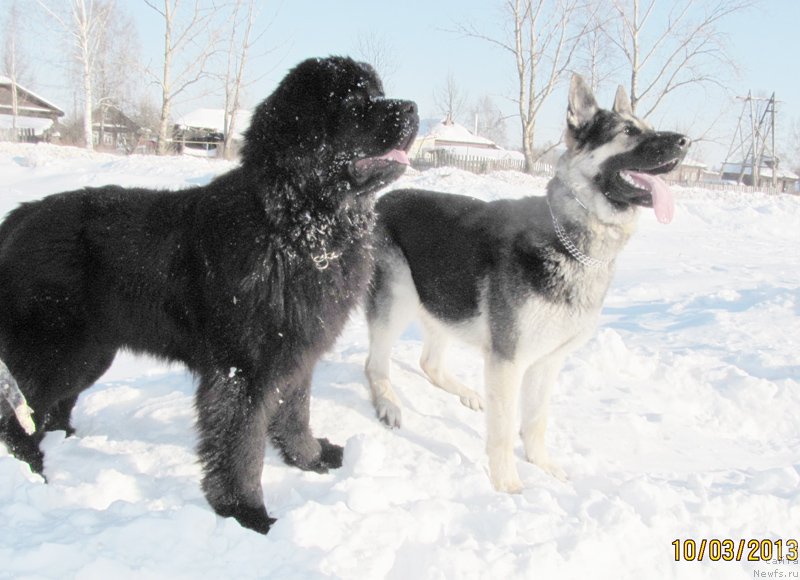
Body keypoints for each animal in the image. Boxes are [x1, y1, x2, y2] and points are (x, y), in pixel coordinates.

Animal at [0, 57, 422, 536]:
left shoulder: (297, 354)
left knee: (54, 407)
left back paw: (63, 444)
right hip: (56, 352)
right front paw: (246, 512)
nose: (412, 107)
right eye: (353, 102)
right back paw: (34, 466)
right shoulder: (242, 371)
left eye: (378, 92)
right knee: (17, 415)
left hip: (91, 353)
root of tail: (22, 214)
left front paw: (309, 457)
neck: (295, 229)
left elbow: (295, 412)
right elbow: (241, 447)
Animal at [366, 71, 692, 490]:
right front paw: (507, 486)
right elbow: (505, 430)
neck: (574, 243)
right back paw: (387, 402)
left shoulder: (547, 362)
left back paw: (465, 393)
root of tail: (381, 200)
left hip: (445, 301)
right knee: (374, 365)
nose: (685, 142)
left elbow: (536, 421)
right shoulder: (507, 361)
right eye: (628, 131)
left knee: (429, 363)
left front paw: (543, 466)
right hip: (399, 297)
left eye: (647, 127)